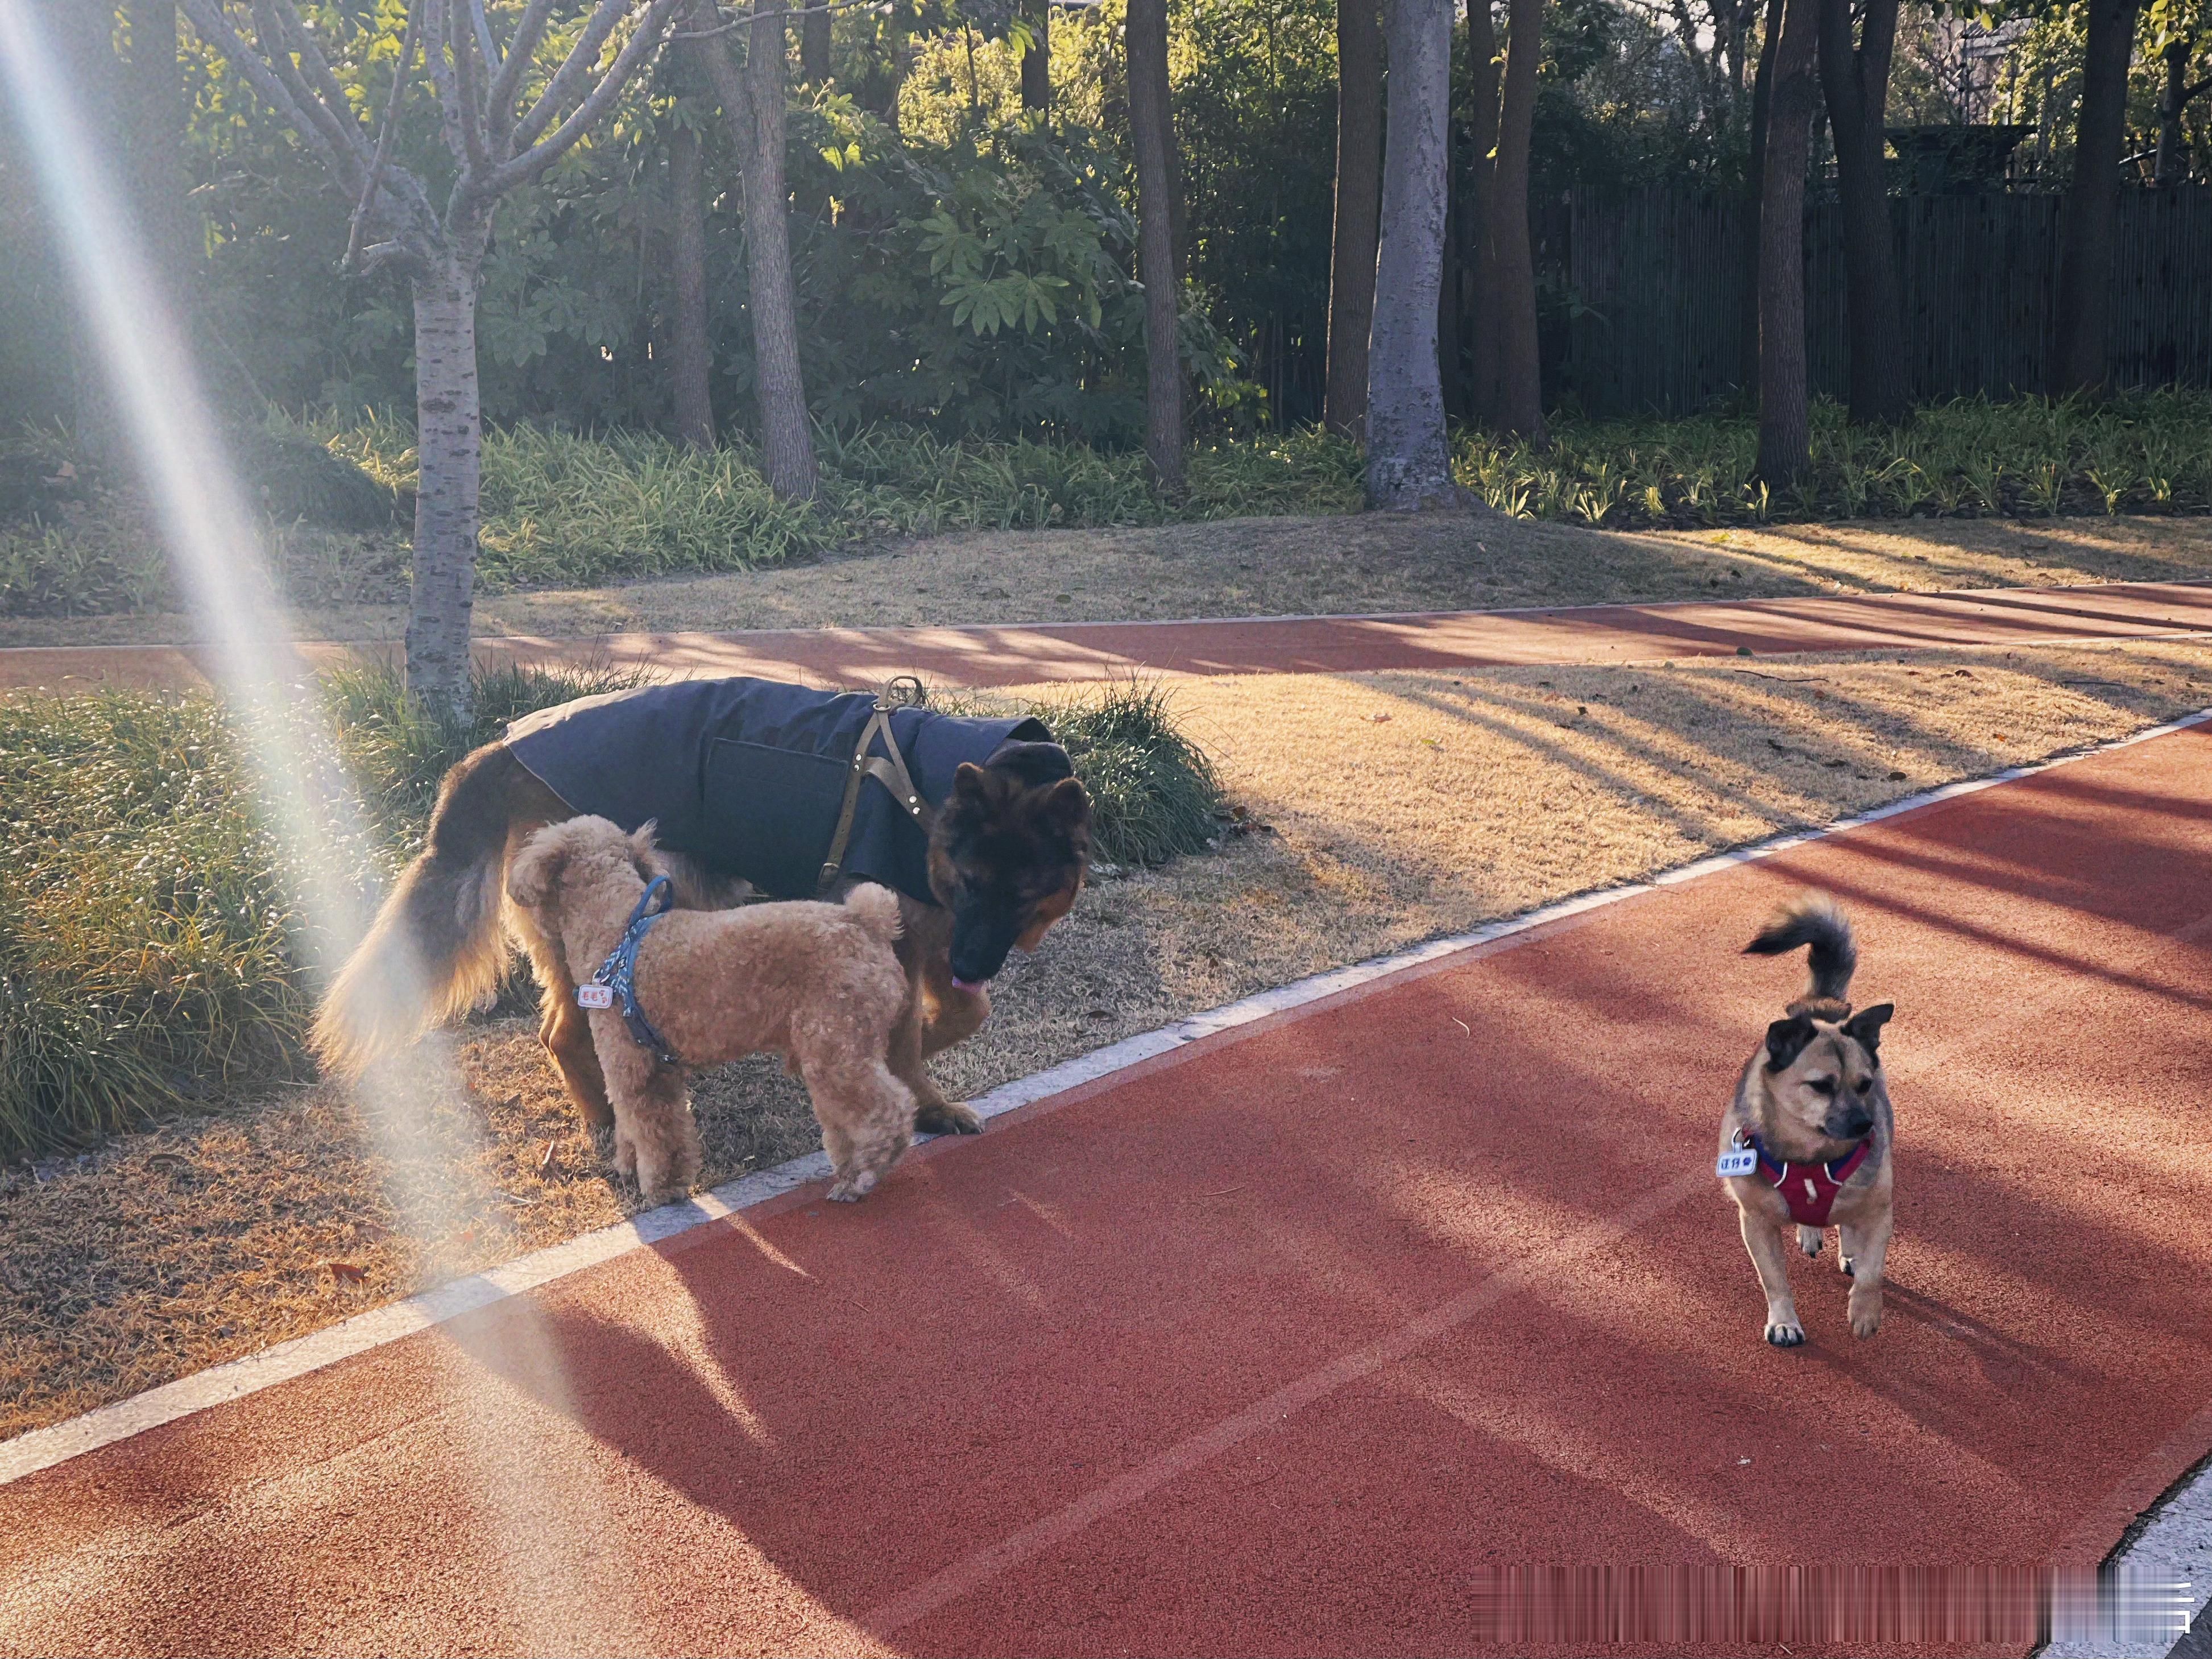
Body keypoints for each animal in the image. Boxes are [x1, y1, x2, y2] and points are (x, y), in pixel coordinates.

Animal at [309, 677, 1088, 1141]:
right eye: (972, 881)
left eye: (1019, 895)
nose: (973, 961)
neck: (921, 796)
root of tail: (497, 750)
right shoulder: (904, 935)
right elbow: (905, 1034)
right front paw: (903, 1081)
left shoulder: (933, 936)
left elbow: (964, 1013)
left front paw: (924, 1075)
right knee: (563, 1033)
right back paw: (609, 1124)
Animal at [1716, 898, 1893, 1354]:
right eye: (1820, 1086)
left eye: (1865, 1084)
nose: (1866, 1125)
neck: (1812, 1159)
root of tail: (1820, 1005)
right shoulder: (1756, 1222)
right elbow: (1775, 1280)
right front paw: (1783, 1321)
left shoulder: (1880, 1211)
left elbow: (1873, 1271)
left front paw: (1865, 1311)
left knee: (1850, 1228)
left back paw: (1847, 1249)